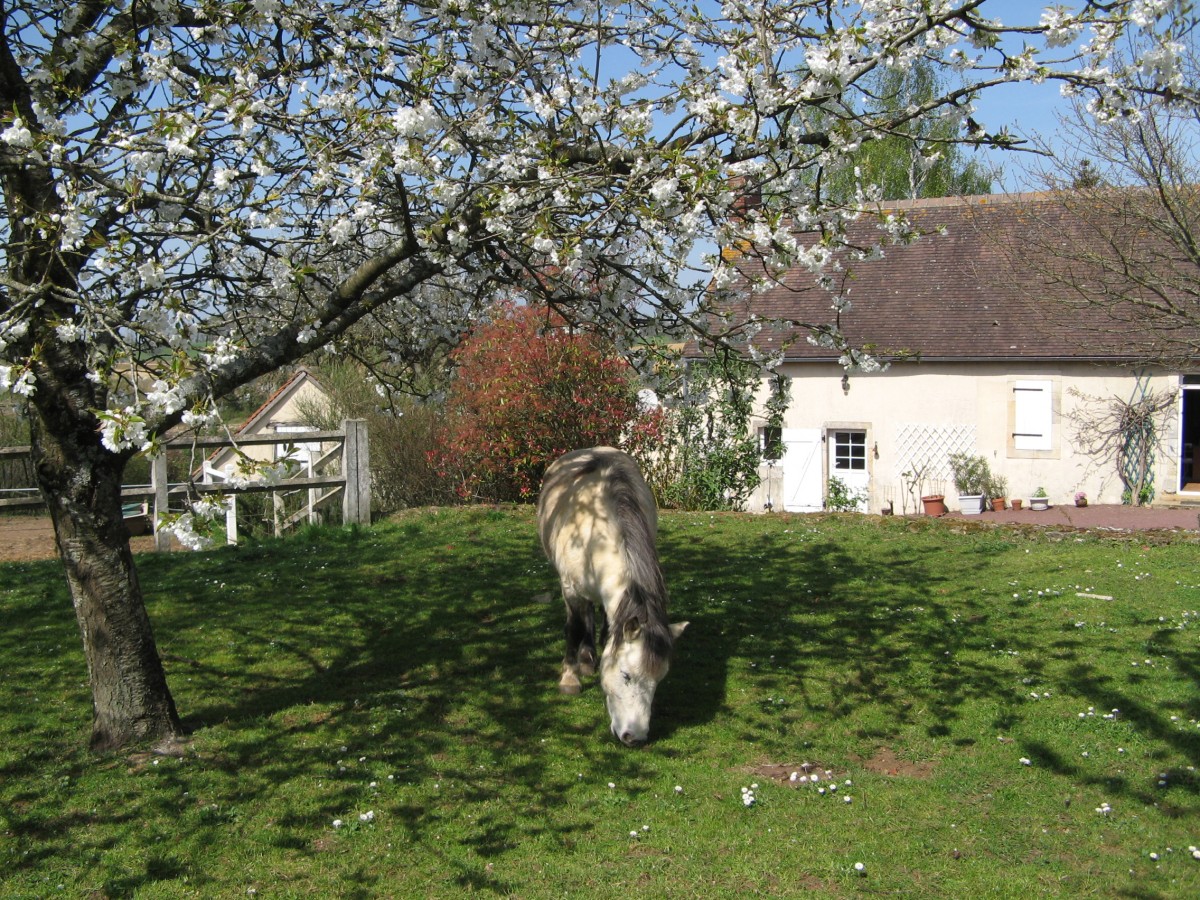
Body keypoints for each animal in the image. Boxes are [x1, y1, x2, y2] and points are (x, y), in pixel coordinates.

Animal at [535, 448, 686, 748]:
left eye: (659, 679)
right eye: (626, 675)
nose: (635, 738)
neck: (595, 531)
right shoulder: (571, 590)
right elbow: (574, 629)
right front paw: (569, 679)